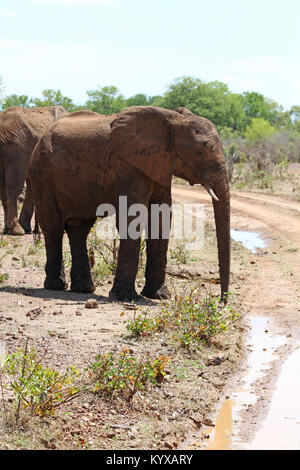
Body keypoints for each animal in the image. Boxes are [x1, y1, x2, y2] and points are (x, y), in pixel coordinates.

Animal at [28, 106, 230, 302]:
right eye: (202, 149)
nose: (222, 301)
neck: (171, 119)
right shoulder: (128, 166)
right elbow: (132, 218)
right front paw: (125, 298)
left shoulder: (159, 165)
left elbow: (161, 218)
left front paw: (158, 296)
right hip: (41, 173)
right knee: (53, 228)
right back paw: (56, 286)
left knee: (79, 228)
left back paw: (83, 289)